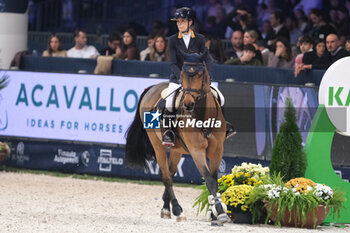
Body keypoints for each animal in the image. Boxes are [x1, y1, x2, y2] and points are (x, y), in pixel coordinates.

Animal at [125, 53, 230, 226]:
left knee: (171, 172)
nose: (188, 104)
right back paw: (177, 210)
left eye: (200, 74)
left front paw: (214, 213)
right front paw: (220, 212)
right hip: (158, 145)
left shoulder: (217, 150)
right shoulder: (197, 151)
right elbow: (208, 179)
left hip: (177, 149)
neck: (202, 114)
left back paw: (166, 208)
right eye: (182, 74)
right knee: (166, 176)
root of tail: (151, 89)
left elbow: (214, 179)